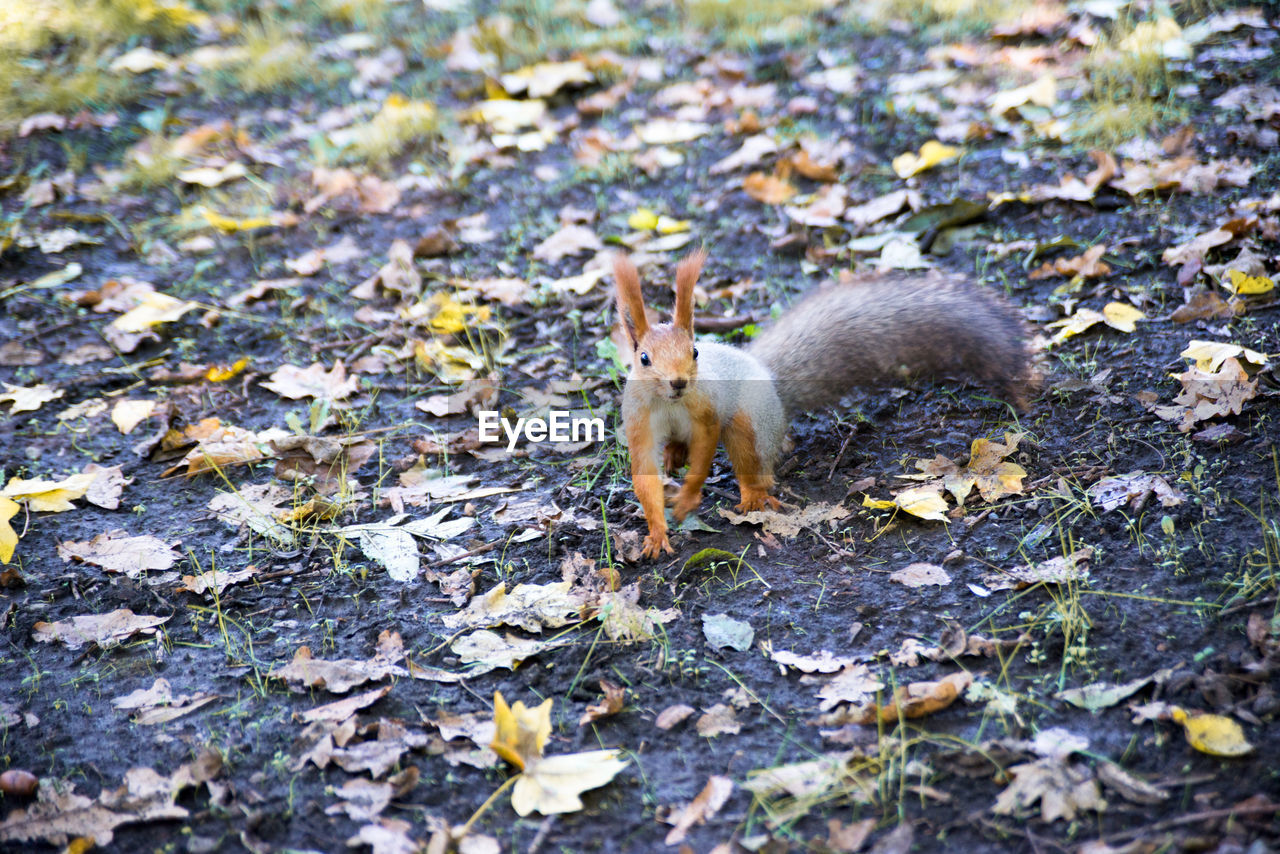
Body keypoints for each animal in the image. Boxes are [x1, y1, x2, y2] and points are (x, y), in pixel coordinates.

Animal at [611, 247, 1039, 560]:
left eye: (695, 352)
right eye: (644, 359)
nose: (679, 381)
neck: (670, 402)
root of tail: (765, 374)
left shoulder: (706, 410)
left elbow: (704, 452)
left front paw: (685, 500)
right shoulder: (638, 419)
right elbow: (645, 472)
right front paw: (656, 531)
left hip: (753, 420)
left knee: (753, 459)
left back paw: (752, 495)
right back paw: (675, 456)